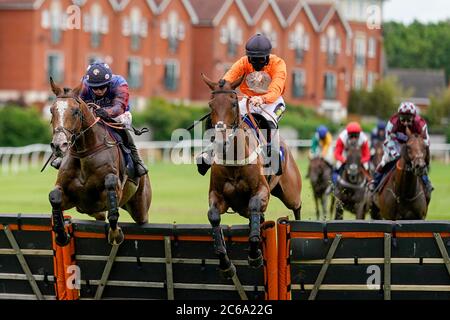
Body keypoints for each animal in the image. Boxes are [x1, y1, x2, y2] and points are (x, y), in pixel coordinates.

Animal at [48, 79, 152, 246]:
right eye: (52, 110)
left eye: (75, 111)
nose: (59, 145)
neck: (84, 153)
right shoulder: (74, 199)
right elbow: (54, 196)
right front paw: (61, 235)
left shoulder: (111, 190)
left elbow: (111, 190)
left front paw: (115, 233)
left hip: (141, 207)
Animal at [201, 74, 302, 278]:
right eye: (211, 104)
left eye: (233, 103)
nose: (221, 141)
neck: (233, 159)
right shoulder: (218, 195)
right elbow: (213, 216)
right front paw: (225, 263)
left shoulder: (261, 190)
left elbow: (255, 205)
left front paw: (255, 254)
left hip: (290, 193)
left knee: (297, 206)